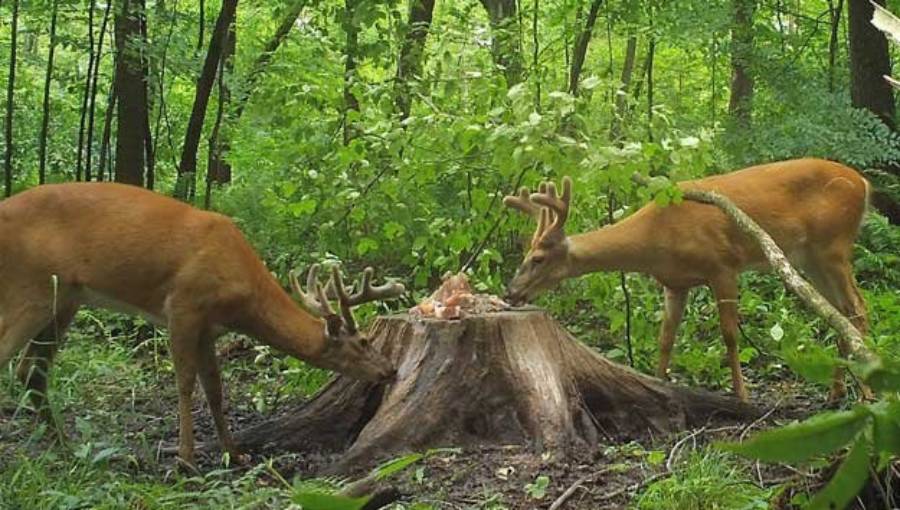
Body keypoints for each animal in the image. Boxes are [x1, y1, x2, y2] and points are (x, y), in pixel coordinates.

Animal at [0, 182, 404, 468]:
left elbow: (215, 387)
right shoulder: (183, 305)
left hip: (65, 299)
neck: (243, 288)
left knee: (30, 369)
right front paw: (187, 458)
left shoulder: (210, 327)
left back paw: (65, 447)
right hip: (30, 288)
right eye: (364, 341)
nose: (390, 369)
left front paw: (235, 453)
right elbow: (185, 383)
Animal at [503, 158, 870, 403]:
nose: (510, 292)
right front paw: (658, 383)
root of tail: (863, 183)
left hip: (833, 246)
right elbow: (666, 338)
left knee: (858, 308)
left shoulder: (723, 266)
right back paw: (837, 392)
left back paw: (866, 389)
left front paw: (742, 394)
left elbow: (729, 335)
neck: (655, 238)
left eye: (537, 259)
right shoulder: (674, 283)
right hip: (809, 259)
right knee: (840, 313)